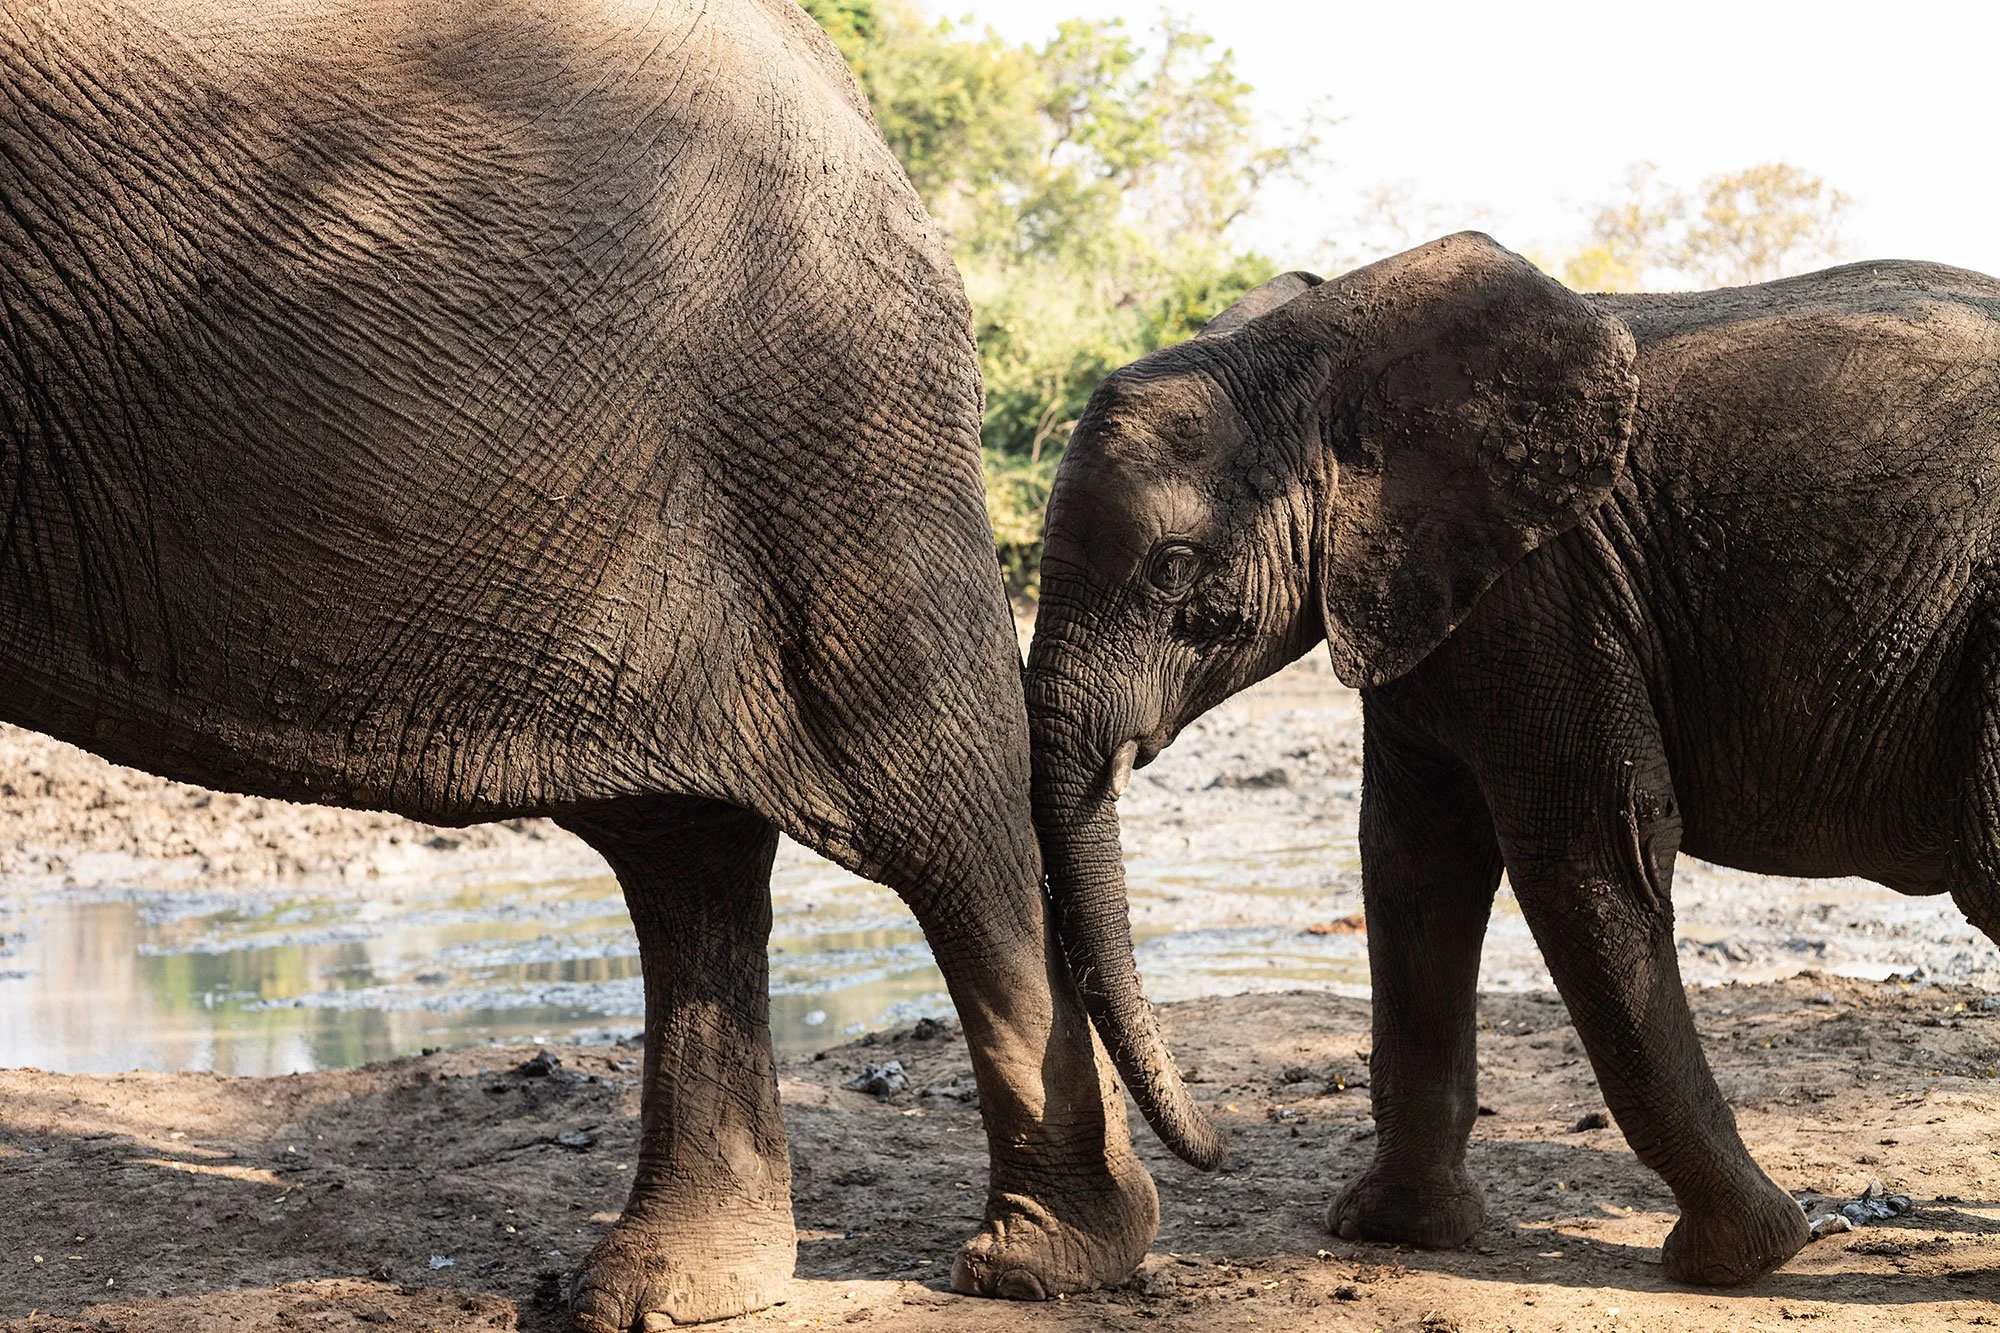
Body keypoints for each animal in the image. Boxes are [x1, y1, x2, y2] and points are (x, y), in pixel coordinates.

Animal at [0, 0, 1159, 1325]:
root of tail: (845, 89)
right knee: (685, 849)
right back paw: (672, 1287)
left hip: (838, 432)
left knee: (940, 809)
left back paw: (1045, 1262)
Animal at [1025, 229, 2000, 1286]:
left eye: (1170, 569)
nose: (1219, 1146)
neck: (1320, 358)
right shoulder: (1435, 598)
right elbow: (1414, 863)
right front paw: (1396, 1231)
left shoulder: (1545, 586)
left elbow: (1583, 854)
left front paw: (1744, 1257)